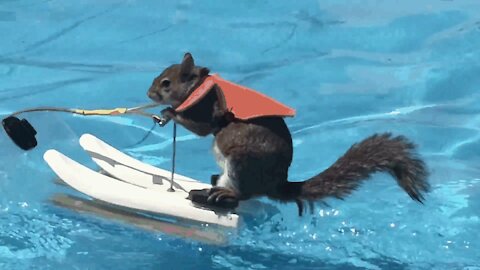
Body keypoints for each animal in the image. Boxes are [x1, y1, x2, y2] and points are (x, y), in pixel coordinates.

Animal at [147, 52, 432, 215]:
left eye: (166, 83)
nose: (149, 94)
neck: (200, 85)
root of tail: (276, 184)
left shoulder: (209, 109)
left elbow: (201, 127)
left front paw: (170, 112)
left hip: (241, 163)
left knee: (243, 195)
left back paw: (223, 195)